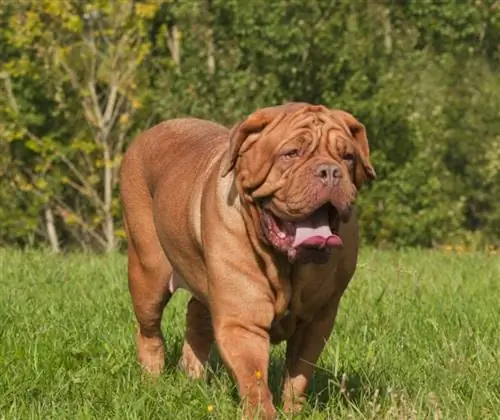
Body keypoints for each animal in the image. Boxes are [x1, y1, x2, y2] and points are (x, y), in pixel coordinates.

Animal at [118, 102, 376, 420]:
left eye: (348, 156)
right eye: (291, 153)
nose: (330, 171)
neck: (287, 266)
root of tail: (148, 133)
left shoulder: (317, 320)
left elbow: (299, 374)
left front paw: (293, 411)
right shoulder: (242, 320)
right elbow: (253, 376)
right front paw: (262, 413)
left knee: (197, 318)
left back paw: (192, 375)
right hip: (148, 274)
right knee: (149, 330)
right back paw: (152, 379)